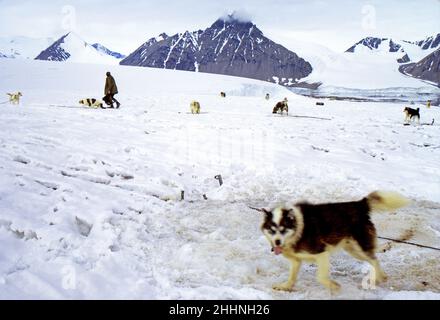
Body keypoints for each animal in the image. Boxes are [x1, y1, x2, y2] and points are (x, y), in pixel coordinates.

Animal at [262, 190, 410, 292]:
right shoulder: (296, 260)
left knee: (374, 259)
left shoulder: (321, 253)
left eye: (283, 230)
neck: (297, 229)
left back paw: (381, 276)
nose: (277, 242)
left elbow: (320, 277)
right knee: (373, 256)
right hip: (353, 250)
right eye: (272, 230)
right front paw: (286, 286)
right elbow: (292, 277)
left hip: (359, 248)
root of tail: (358, 204)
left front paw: (334, 286)